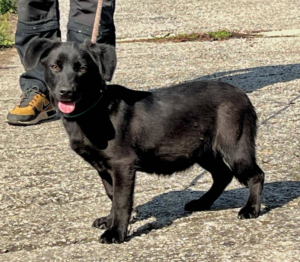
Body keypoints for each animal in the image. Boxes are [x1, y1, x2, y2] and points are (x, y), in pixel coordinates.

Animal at [23, 39, 264, 244]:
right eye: (55, 66)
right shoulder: (103, 168)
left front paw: (116, 232)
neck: (94, 109)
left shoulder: (122, 165)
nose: (66, 92)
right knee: (223, 175)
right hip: (201, 150)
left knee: (256, 175)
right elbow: (112, 195)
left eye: (82, 69)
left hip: (235, 146)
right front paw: (110, 221)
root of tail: (243, 95)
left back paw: (250, 209)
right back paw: (202, 203)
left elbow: (122, 200)